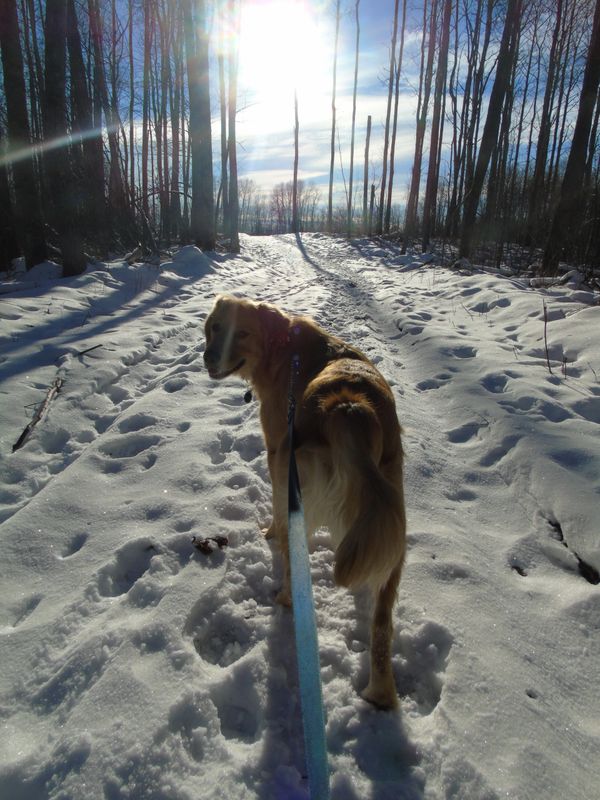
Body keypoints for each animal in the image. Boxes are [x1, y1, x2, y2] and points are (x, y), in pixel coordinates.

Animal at [204, 296, 406, 708]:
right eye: (215, 327)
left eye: (241, 333)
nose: (207, 357)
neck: (285, 348)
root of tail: (348, 408)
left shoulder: (273, 450)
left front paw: (266, 533)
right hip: (393, 521)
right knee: (382, 623)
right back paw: (380, 693)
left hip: (291, 478)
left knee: (291, 554)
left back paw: (283, 597)